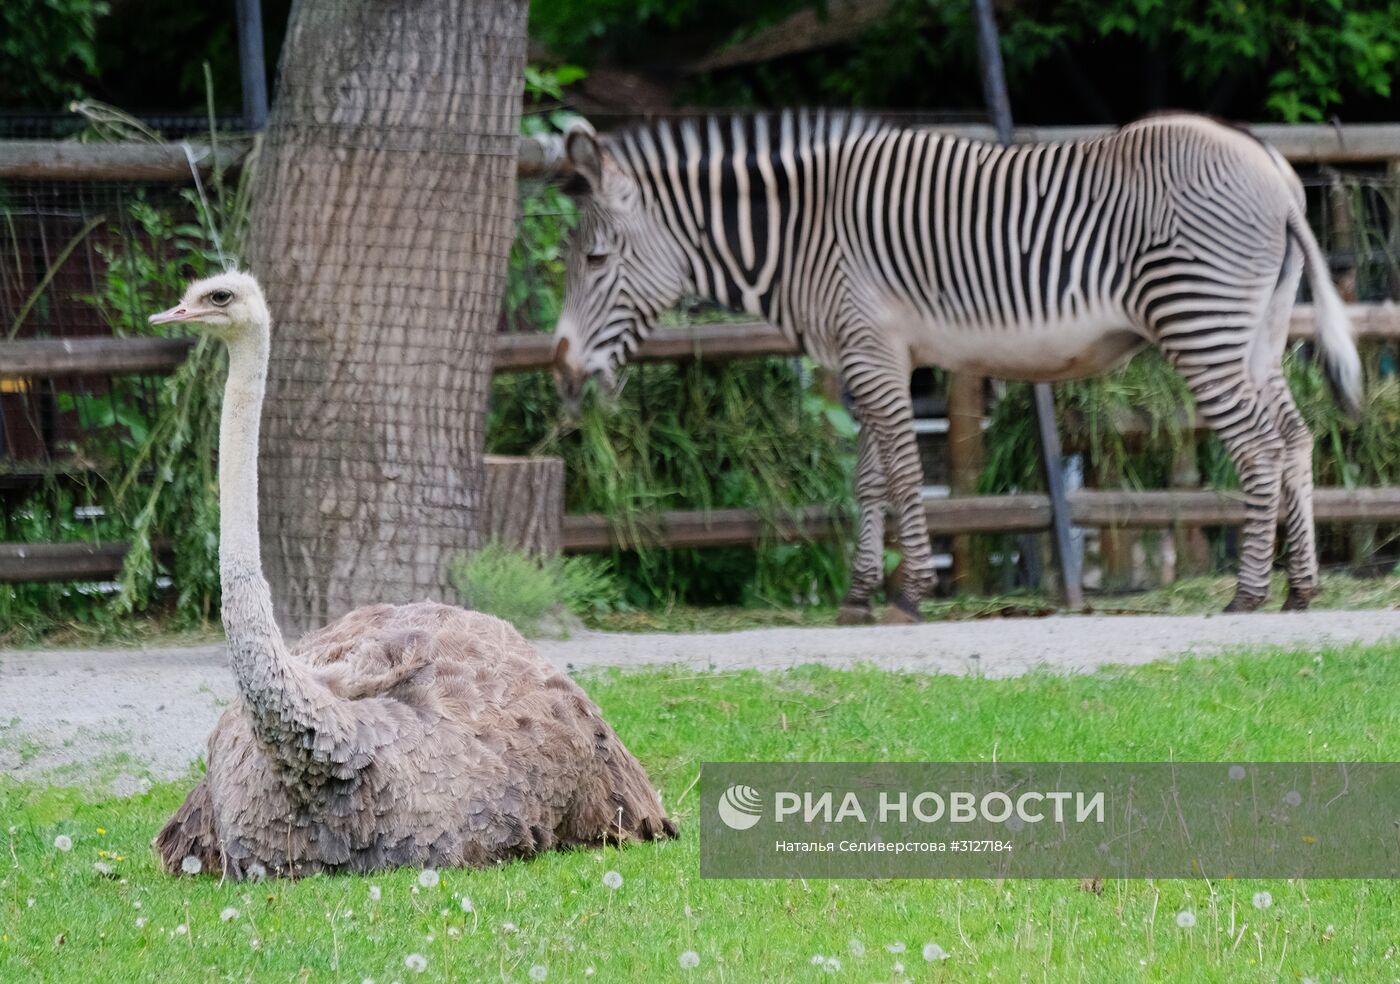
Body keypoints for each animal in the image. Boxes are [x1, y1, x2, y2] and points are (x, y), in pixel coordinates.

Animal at [551, 113, 1360, 624]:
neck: (799, 235)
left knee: (1258, 447)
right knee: (1294, 437)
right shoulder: (872, 352)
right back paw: (1301, 590)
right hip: (1255, 331)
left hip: (1200, 321)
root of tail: (1277, 172)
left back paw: (1248, 594)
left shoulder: (873, 349)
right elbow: (870, 478)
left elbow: (906, 472)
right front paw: (858, 597)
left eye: (595, 260)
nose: (560, 369)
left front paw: (910, 592)